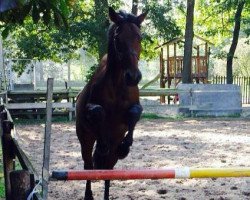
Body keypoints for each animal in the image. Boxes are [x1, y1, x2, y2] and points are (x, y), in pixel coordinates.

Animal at [75, 7, 146, 200]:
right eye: (117, 38)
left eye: (139, 37)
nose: (133, 77)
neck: (118, 84)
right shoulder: (91, 109)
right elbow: (98, 112)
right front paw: (102, 145)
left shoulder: (134, 109)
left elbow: (134, 114)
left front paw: (125, 147)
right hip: (85, 139)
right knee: (88, 167)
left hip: (113, 150)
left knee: (108, 170)